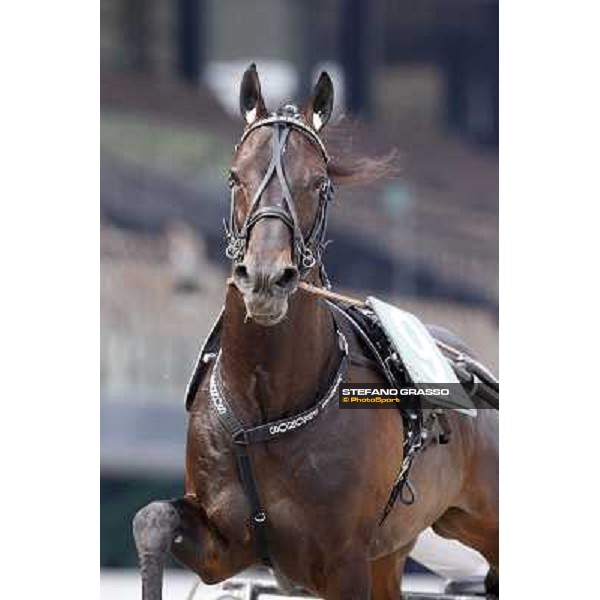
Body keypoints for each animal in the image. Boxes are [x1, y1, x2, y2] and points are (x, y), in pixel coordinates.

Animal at [134, 65, 500, 600]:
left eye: (319, 183)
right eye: (234, 176)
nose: (265, 278)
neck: (267, 407)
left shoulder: (344, 561)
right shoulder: (225, 544)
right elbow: (152, 518)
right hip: (391, 553)